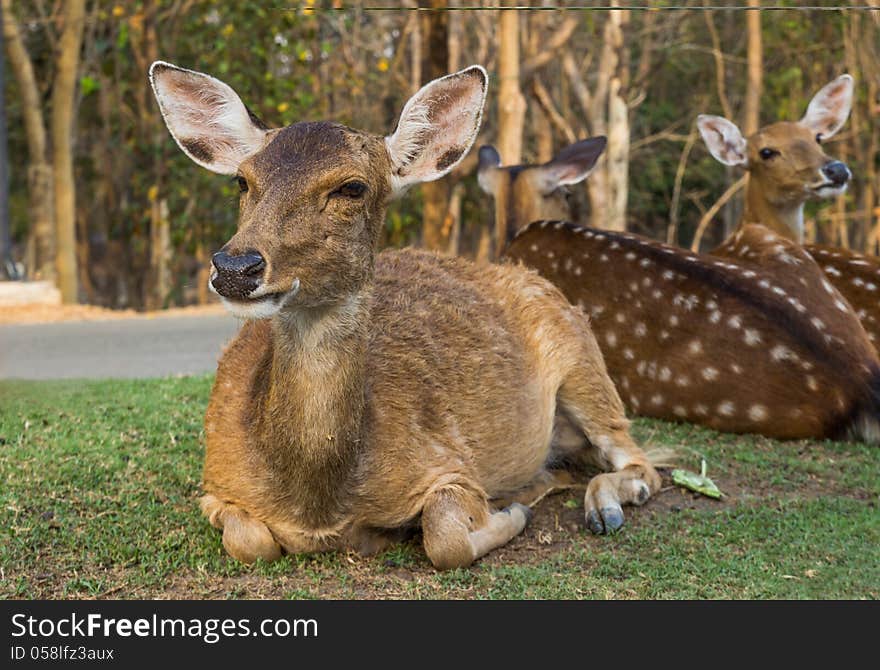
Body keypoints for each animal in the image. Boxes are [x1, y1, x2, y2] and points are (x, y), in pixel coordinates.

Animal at [150, 60, 660, 568]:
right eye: (242, 180)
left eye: (351, 187)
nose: (235, 268)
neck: (318, 506)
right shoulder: (215, 480)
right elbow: (249, 541)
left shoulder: (449, 461)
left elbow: (446, 538)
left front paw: (511, 512)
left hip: (584, 363)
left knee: (642, 461)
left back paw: (603, 507)